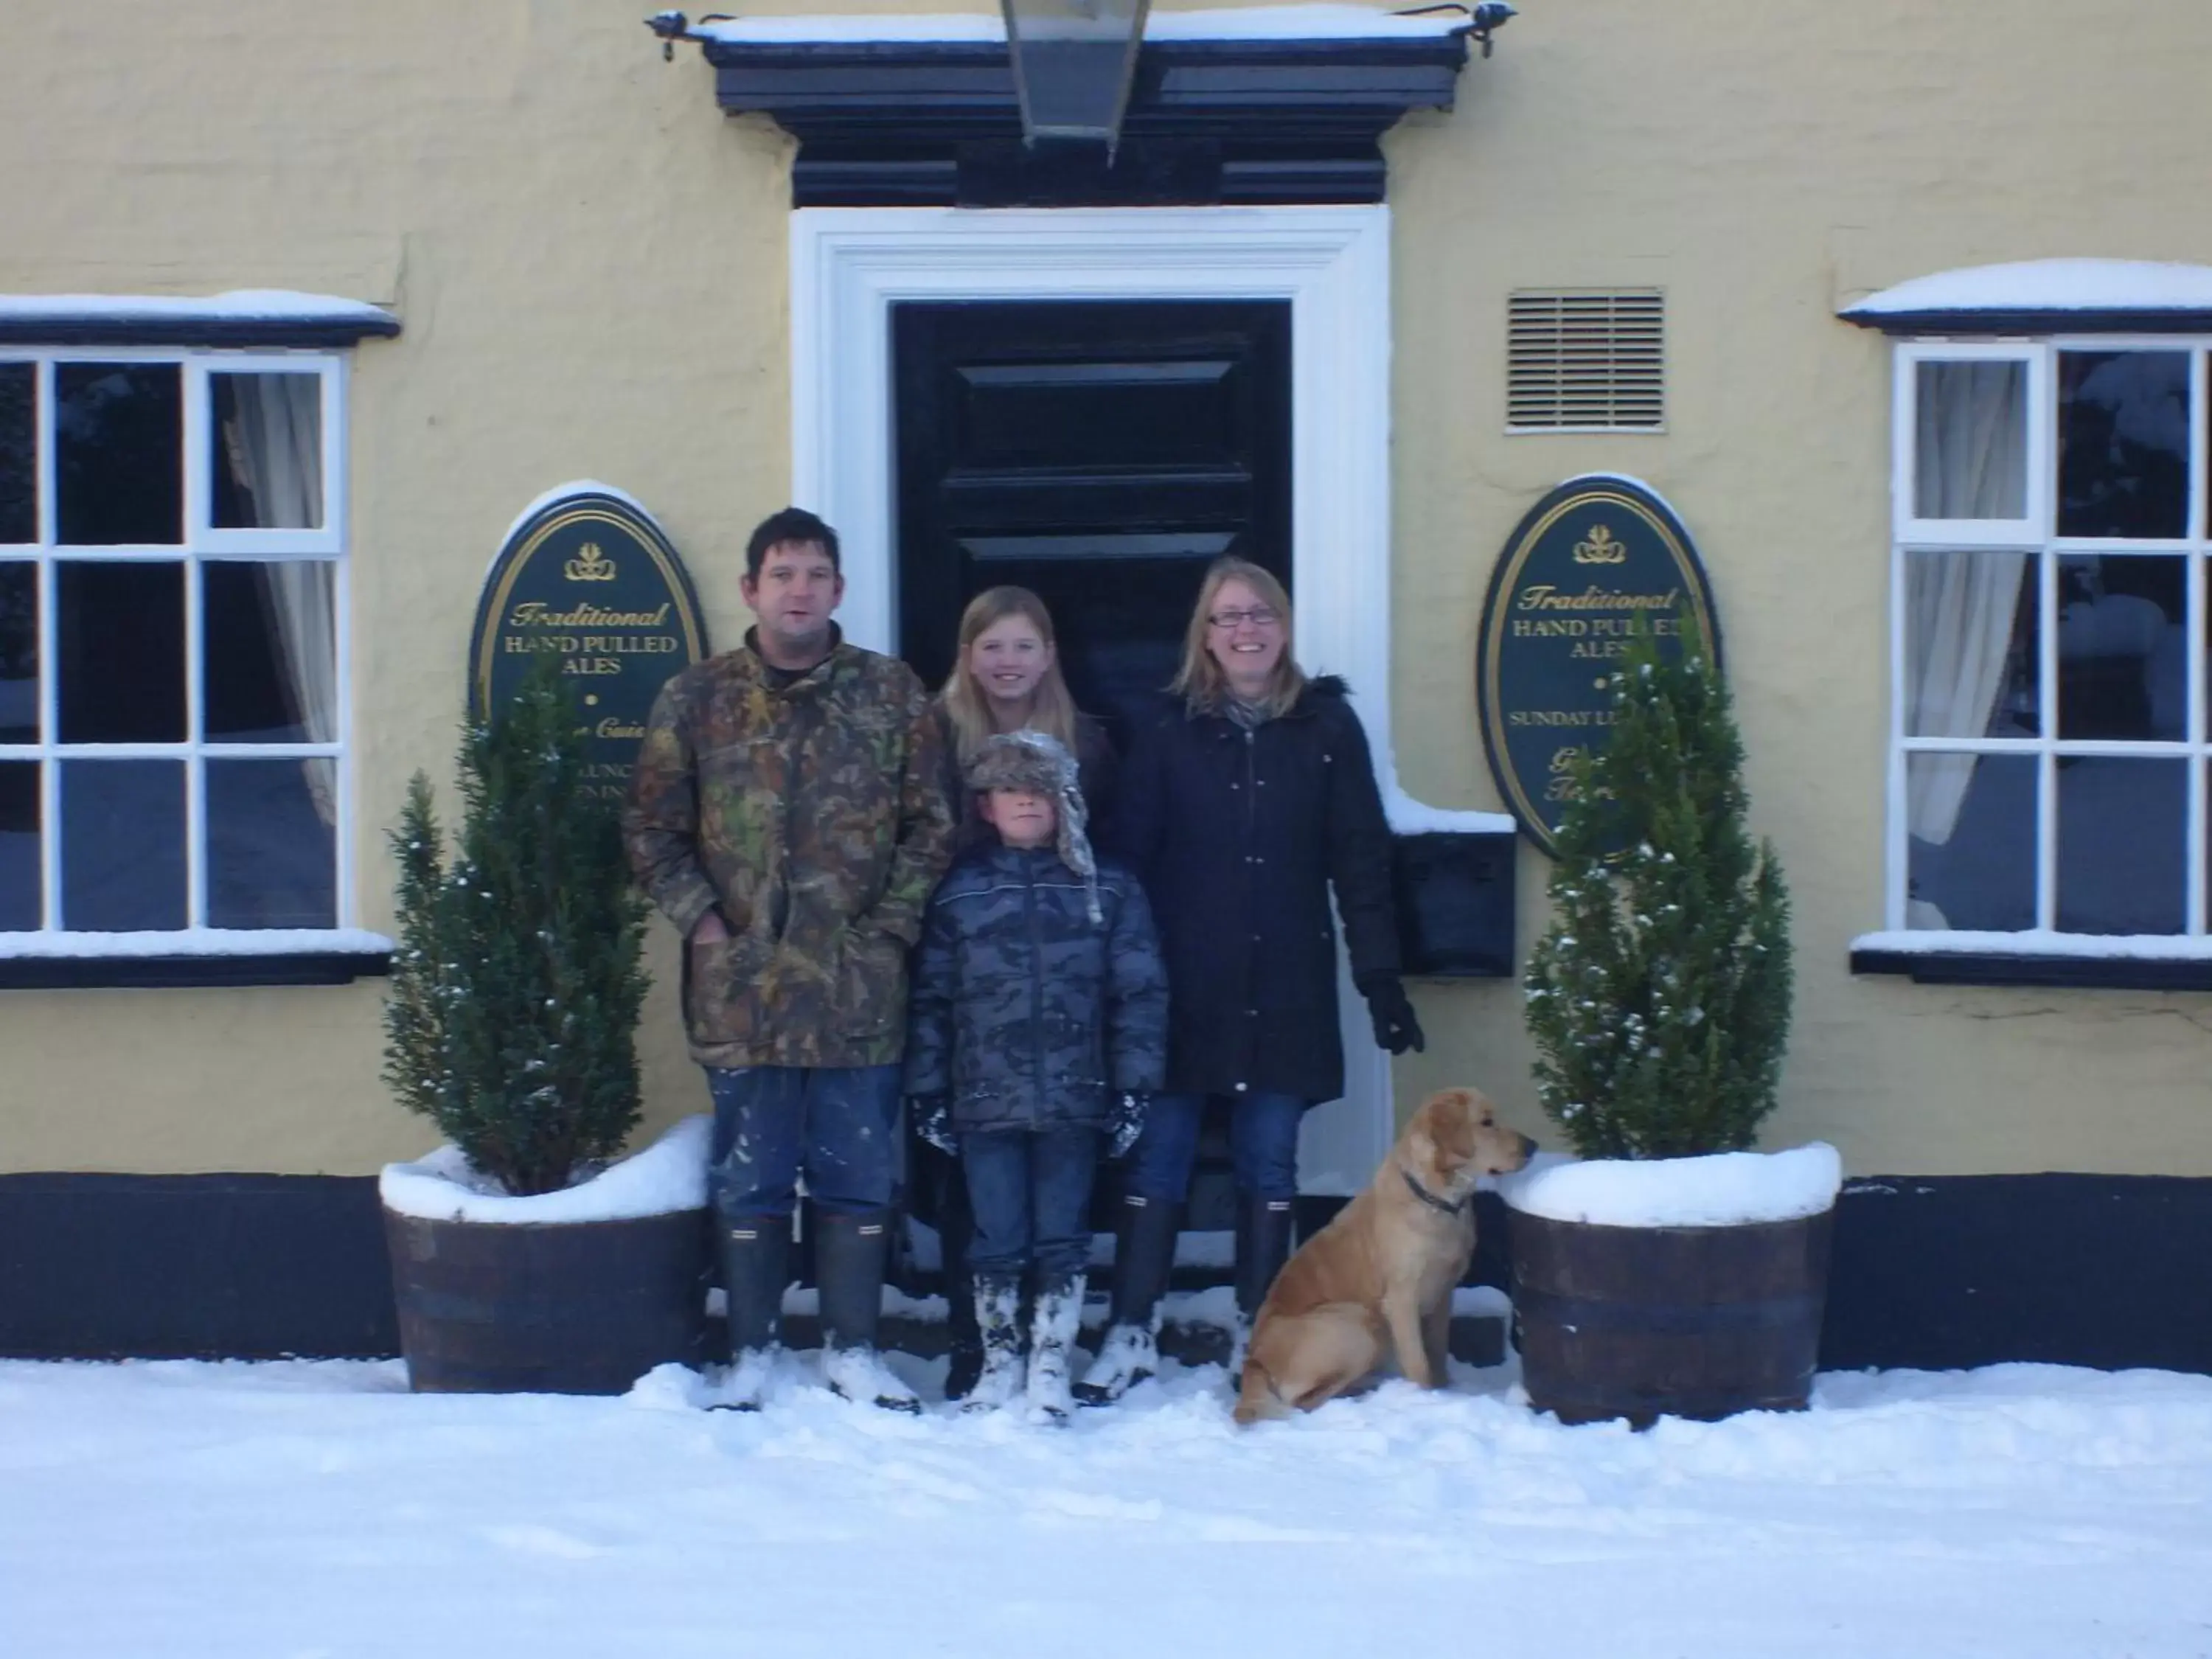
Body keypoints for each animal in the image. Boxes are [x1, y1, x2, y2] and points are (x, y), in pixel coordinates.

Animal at [1239, 1093, 1531, 1433]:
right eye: (1486, 1122)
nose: (1533, 1146)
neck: (1435, 1199)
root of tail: (1254, 1361)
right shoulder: (1402, 1299)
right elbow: (1419, 1364)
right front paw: (1426, 1399)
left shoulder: (1444, 1293)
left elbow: (1438, 1352)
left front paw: (1444, 1390)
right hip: (1359, 1322)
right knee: (1304, 1401)